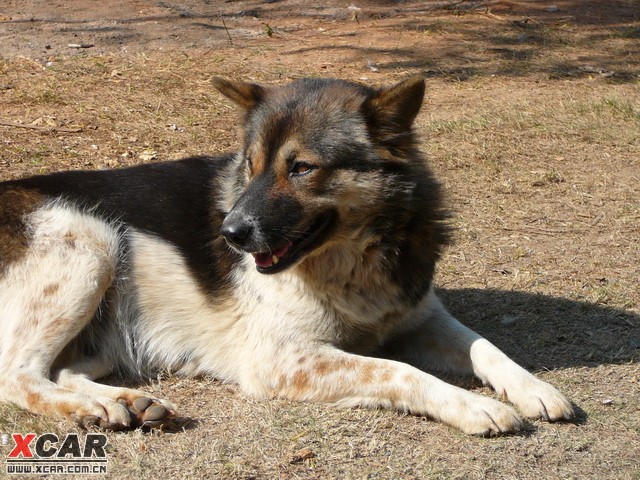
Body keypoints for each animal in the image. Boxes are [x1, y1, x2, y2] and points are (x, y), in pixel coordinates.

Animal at [0, 76, 572, 436]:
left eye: (301, 168)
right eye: (250, 166)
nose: (229, 234)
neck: (350, 261)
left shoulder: (421, 316)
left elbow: (485, 347)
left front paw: (535, 389)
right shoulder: (283, 360)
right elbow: (398, 370)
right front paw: (475, 405)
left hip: (106, 322)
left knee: (60, 369)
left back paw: (121, 402)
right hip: (91, 242)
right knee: (17, 375)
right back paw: (91, 408)